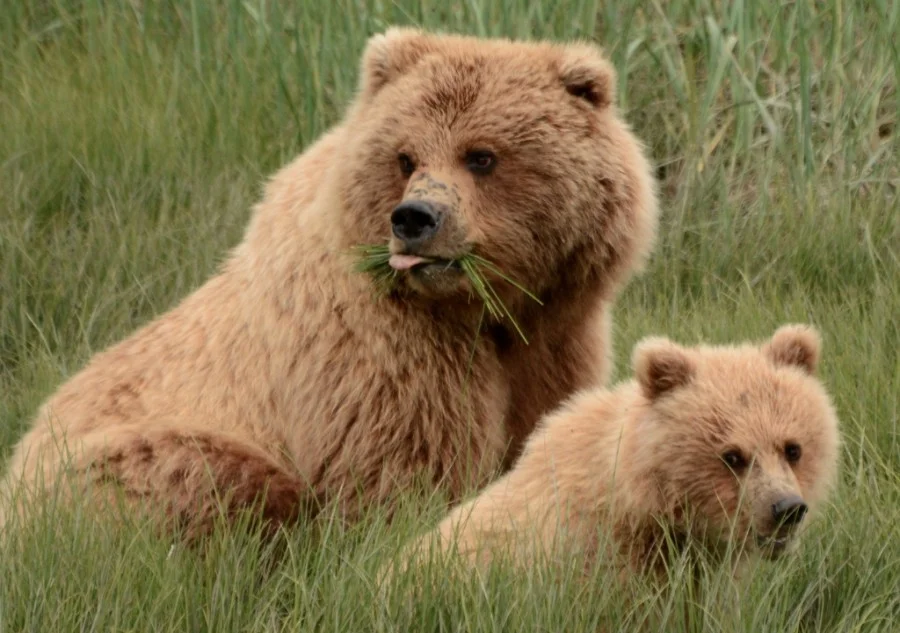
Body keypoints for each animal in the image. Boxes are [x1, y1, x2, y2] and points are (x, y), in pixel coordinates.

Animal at [0, 27, 658, 539]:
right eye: (405, 157)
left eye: (482, 155)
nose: (415, 218)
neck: (479, 310)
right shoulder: (378, 347)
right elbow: (407, 466)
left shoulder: (552, 333)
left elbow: (544, 426)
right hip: (116, 460)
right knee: (217, 478)